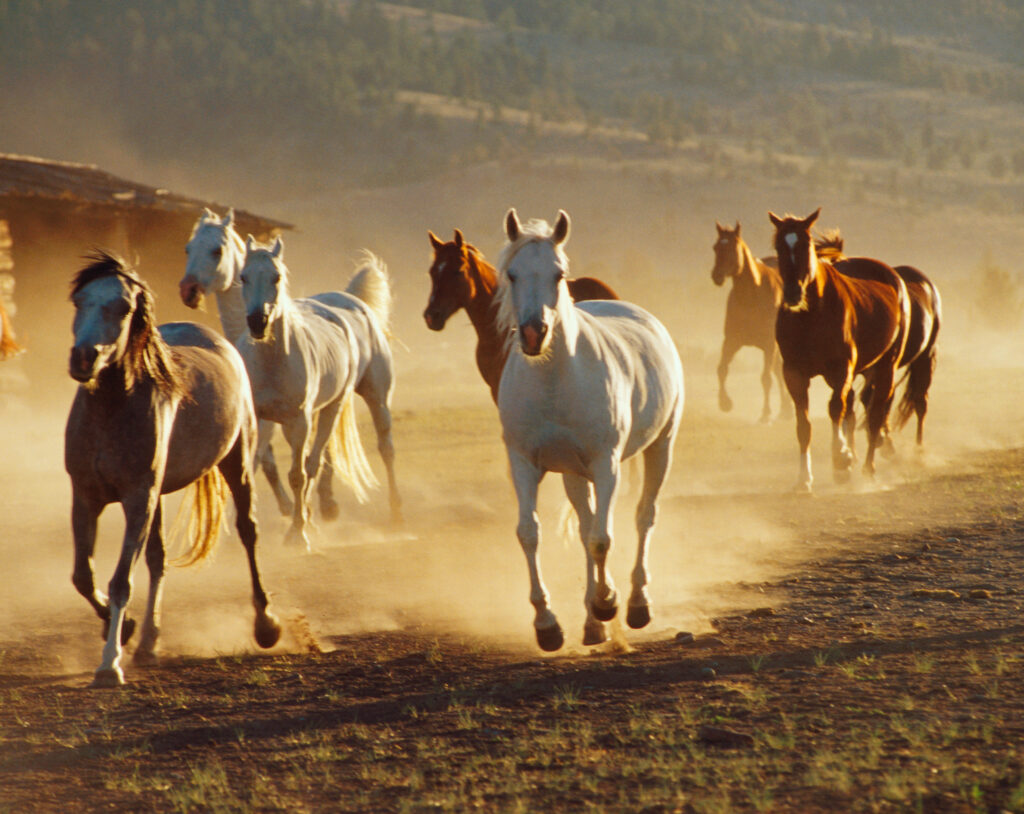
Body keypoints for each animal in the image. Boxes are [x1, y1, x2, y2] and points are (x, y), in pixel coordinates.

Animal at [65, 252, 281, 687]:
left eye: (123, 307)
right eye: (79, 300)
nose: (82, 359)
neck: (110, 412)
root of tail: (215, 339)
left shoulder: (137, 500)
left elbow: (120, 581)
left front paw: (110, 663)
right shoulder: (86, 497)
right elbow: (83, 576)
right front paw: (125, 629)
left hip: (237, 464)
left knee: (249, 531)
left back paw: (266, 624)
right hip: (159, 497)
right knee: (158, 558)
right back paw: (148, 642)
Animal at [238, 236, 402, 550]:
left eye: (276, 277)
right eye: (243, 277)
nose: (256, 322)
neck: (271, 361)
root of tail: (350, 302)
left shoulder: (300, 420)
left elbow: (298, 475)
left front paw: (296, 535)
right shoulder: (261, 420)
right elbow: (252, 470)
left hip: (366, 402)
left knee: (382, 449)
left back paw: (394, 512)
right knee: (315, 461)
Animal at [495, 209, 684, 651]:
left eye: (558, 273)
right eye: (512, 273)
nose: (533, 333)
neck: (554, 381)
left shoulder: (606, 464)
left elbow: (602, 538)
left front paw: (606, 602)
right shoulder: (523, 463)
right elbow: (530, 533)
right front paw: (547, 624)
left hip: (660, 447)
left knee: (643, 516)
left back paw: (634, 604)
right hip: (573, 474)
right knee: (585, 527)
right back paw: (592, 625)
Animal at [709, 220, 788, 422]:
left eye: (733, 247)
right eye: (715, 247)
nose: (717, 276)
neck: (752, 295)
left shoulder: (769, 344)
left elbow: (766, 378)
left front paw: (765, 414)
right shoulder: (731, 341)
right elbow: (722, 369)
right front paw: (725, 403)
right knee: (779, 371)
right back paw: (786, 410)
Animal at [769, 209, 910, 492]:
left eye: (805, 244)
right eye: (779, 246)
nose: (792, 293)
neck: (811, 315)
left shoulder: (840, 369)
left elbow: (836, 408)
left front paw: (841, 459)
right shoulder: (794, 373)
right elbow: (804, 425)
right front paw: (804, 479)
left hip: (886, 367)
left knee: (875, 415)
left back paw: (868, 468)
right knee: (856, 409)